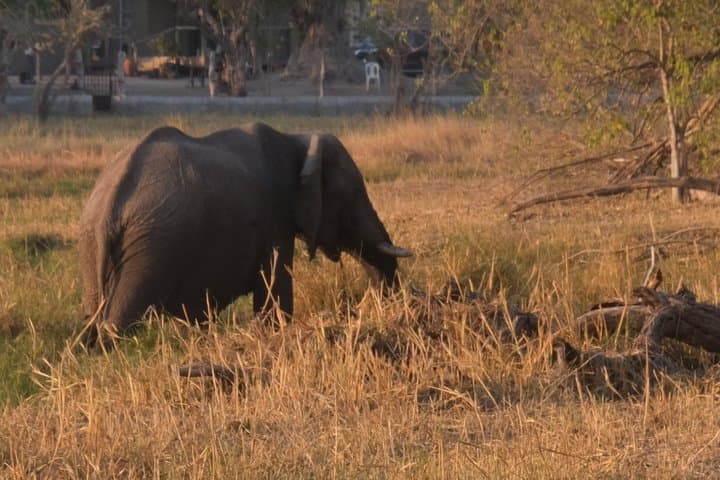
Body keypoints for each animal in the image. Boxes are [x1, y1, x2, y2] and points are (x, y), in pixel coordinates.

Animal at [78, 122, 411, 346]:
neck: (298, 140)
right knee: (119, 319)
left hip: (96, 243)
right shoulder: (275, 218)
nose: (376, 304)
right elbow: (275, 290)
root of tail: (110, 206)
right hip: (150, 246)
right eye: (354, 192)